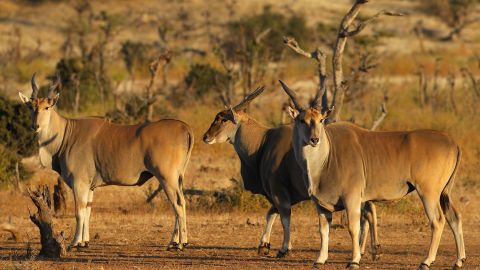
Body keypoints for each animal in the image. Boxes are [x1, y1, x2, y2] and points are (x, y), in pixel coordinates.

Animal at [19, 74, 193, 251]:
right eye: (30, 107)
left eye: (47, 107)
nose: (35, 126)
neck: (67, 134)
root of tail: (185, 128)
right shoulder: (89, 187)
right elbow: (87, 211)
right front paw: (84, 242)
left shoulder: (79, 182)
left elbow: (79, 212)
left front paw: (74, 243)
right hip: (177, 178)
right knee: (182, 202)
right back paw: (176, 242)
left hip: (166, 178)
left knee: (178, 205)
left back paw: (180, 243)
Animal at [201, 87, 380, 258]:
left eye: (223, 119)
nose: (206, 137)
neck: (264, 142)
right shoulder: (278, 193)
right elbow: (271, 213)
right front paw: (264, 246)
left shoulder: (278, 190)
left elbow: (284, 217)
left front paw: (284, 249)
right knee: (369, 211)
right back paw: (371, 249)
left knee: (366, 213)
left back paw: (366, 249)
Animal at [280, 79, 466, 268]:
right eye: (302, 120)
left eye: (321, 119)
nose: (314, 139)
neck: (328, 157)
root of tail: (453, 142)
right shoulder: (321, 205)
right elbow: (323, 231)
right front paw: (320, 259)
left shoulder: (352, 198)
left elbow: (353, 228)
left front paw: (354, 260)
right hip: (443, 193)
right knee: (454, 217)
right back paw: (459, 260)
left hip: (428, 192)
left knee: (438, 220)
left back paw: (426, 261)